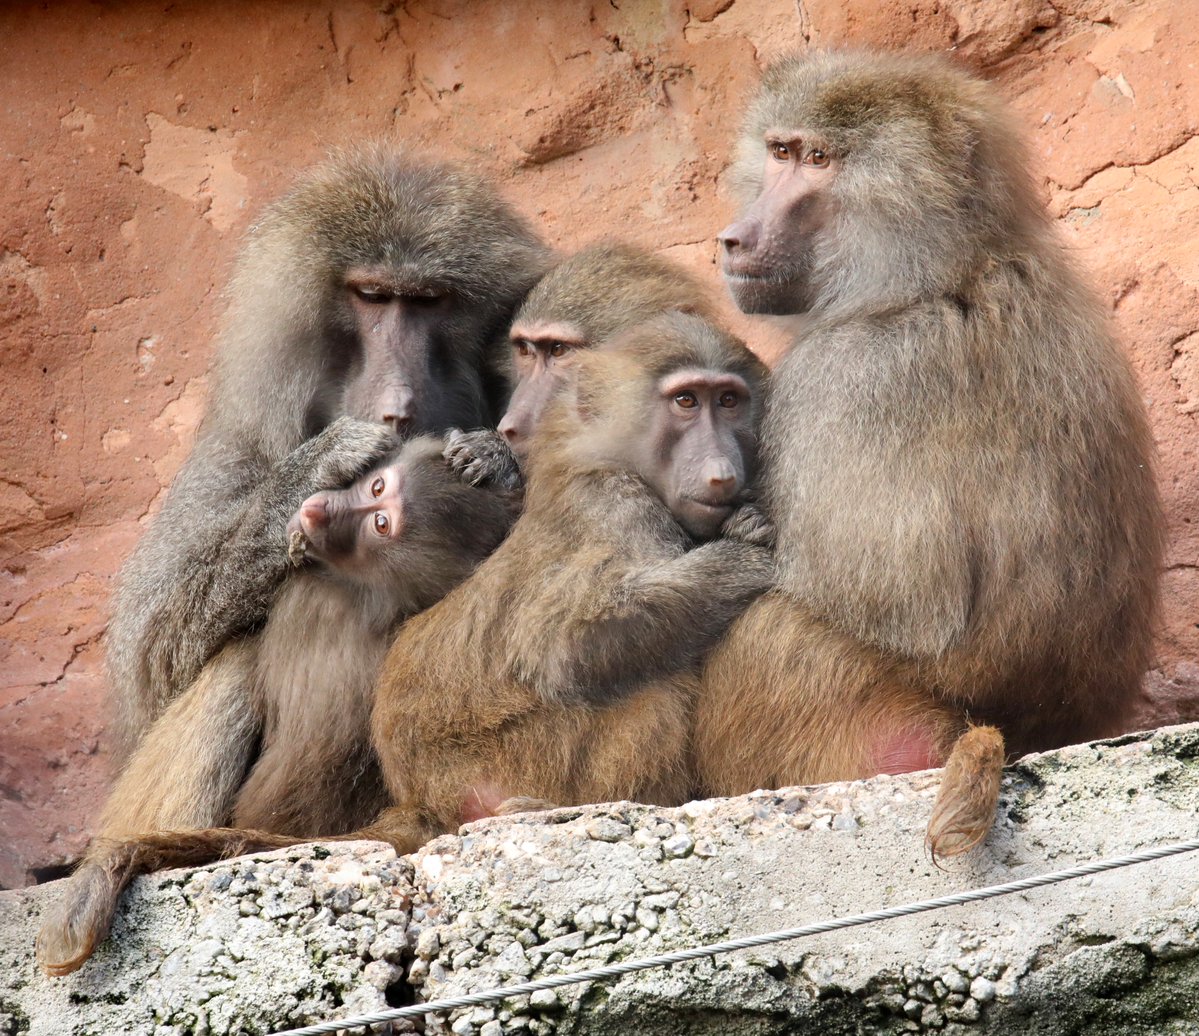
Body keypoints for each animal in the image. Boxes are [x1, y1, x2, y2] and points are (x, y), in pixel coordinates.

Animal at [37, 437, 522, 976]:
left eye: (380, 523)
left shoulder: (311, 601)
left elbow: (155, 673)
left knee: (236, 663)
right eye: (376, 487)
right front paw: (491, 460)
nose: (322, 508)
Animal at [106, 144, 549, 765]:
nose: (397, 407)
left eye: (428, 301)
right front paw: (321, 465)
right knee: (229, 664)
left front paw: (496, 459)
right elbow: (149, 660)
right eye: (372, 296)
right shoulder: (242, 442)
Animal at [695, 50, 1165, 858]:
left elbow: (893, 602)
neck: (946, 268)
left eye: (819, 161)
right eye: (780, 151)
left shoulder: (845, 379)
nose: (734, 239)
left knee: (769, 634)